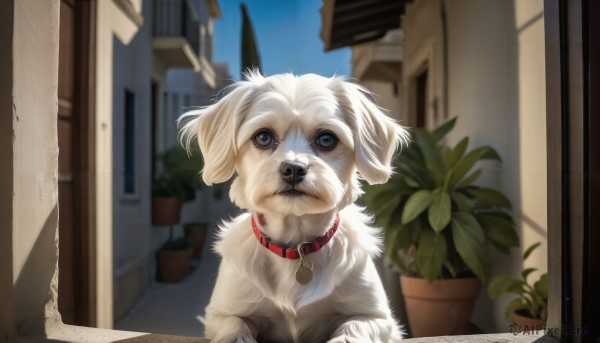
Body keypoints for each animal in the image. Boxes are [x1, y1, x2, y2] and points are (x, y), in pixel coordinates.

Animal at [179, 71, 408, 342]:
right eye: (263, 137)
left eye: (327, 139)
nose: (294, 169)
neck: (295, 246)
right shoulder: (220, 313)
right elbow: (234, 326)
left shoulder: (375, 316)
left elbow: (353, 328)